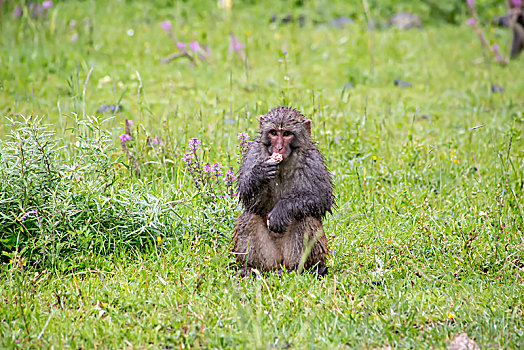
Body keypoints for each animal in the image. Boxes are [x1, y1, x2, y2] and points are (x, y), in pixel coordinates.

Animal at [231, 106, 334, 276]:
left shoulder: (313, 158)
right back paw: (252, 268)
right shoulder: (254, 153)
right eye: (273, 132)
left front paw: (281, 211)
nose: (278, 148)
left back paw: (300, 269)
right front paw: (260, 173)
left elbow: (321, 198)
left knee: (305, 218)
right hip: (270, 258)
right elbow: (248, 199)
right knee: (250, 217)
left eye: (286, 134)